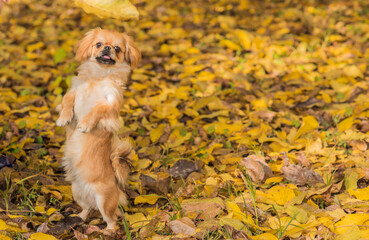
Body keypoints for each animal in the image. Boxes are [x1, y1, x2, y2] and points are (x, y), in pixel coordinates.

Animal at [56, 27, 141, 230]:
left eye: (117, 48)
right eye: (99, 44)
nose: (108, 48)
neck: (99, 76)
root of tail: (117, 187)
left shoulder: (111, 105)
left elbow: (97, 109)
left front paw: (85, 124)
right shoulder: (74, 91)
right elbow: (67, 101)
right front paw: (64, 118)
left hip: (103, 199)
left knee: (111, 218)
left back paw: (107, 231)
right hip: (77, 191)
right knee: (88, 209)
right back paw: (79, 217)